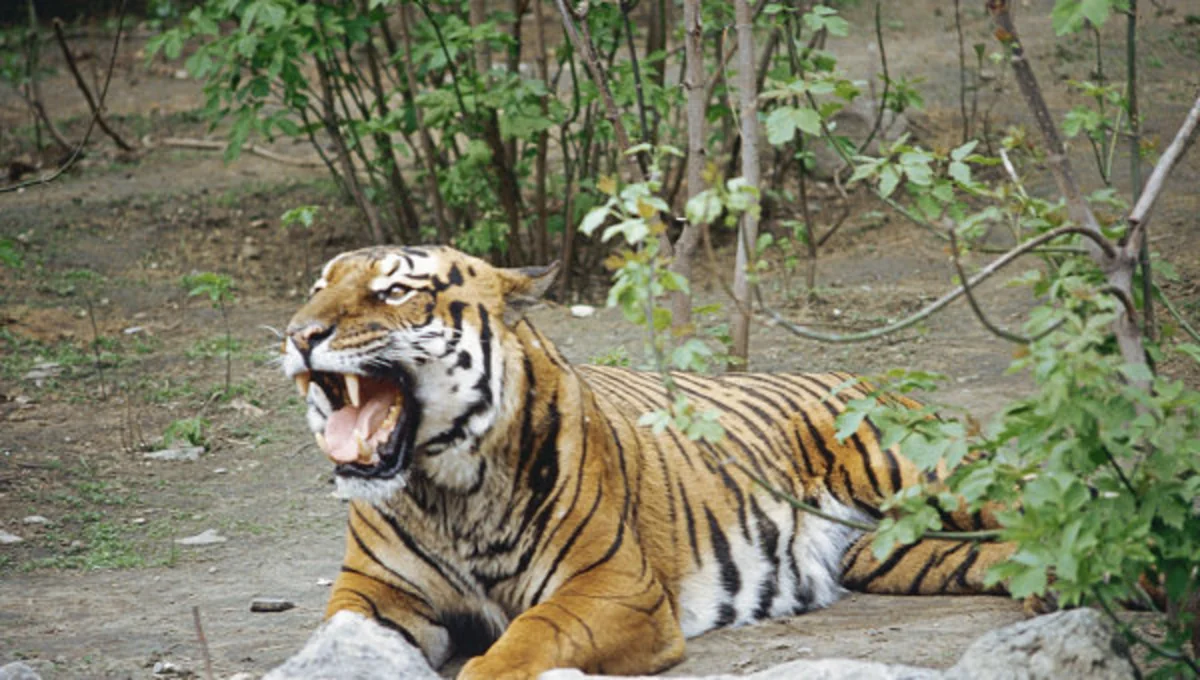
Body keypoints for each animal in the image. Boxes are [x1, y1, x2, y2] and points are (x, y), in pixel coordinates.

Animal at [277, 245, 1015, 680]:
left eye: (395, 292)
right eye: (315, 287)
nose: (299, 334)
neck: (444, 487)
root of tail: (865, 378)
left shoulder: (613, 586)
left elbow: (527, 637)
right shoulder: (375, 592)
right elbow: (344, 638)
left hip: (930, 474)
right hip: (901, 552)